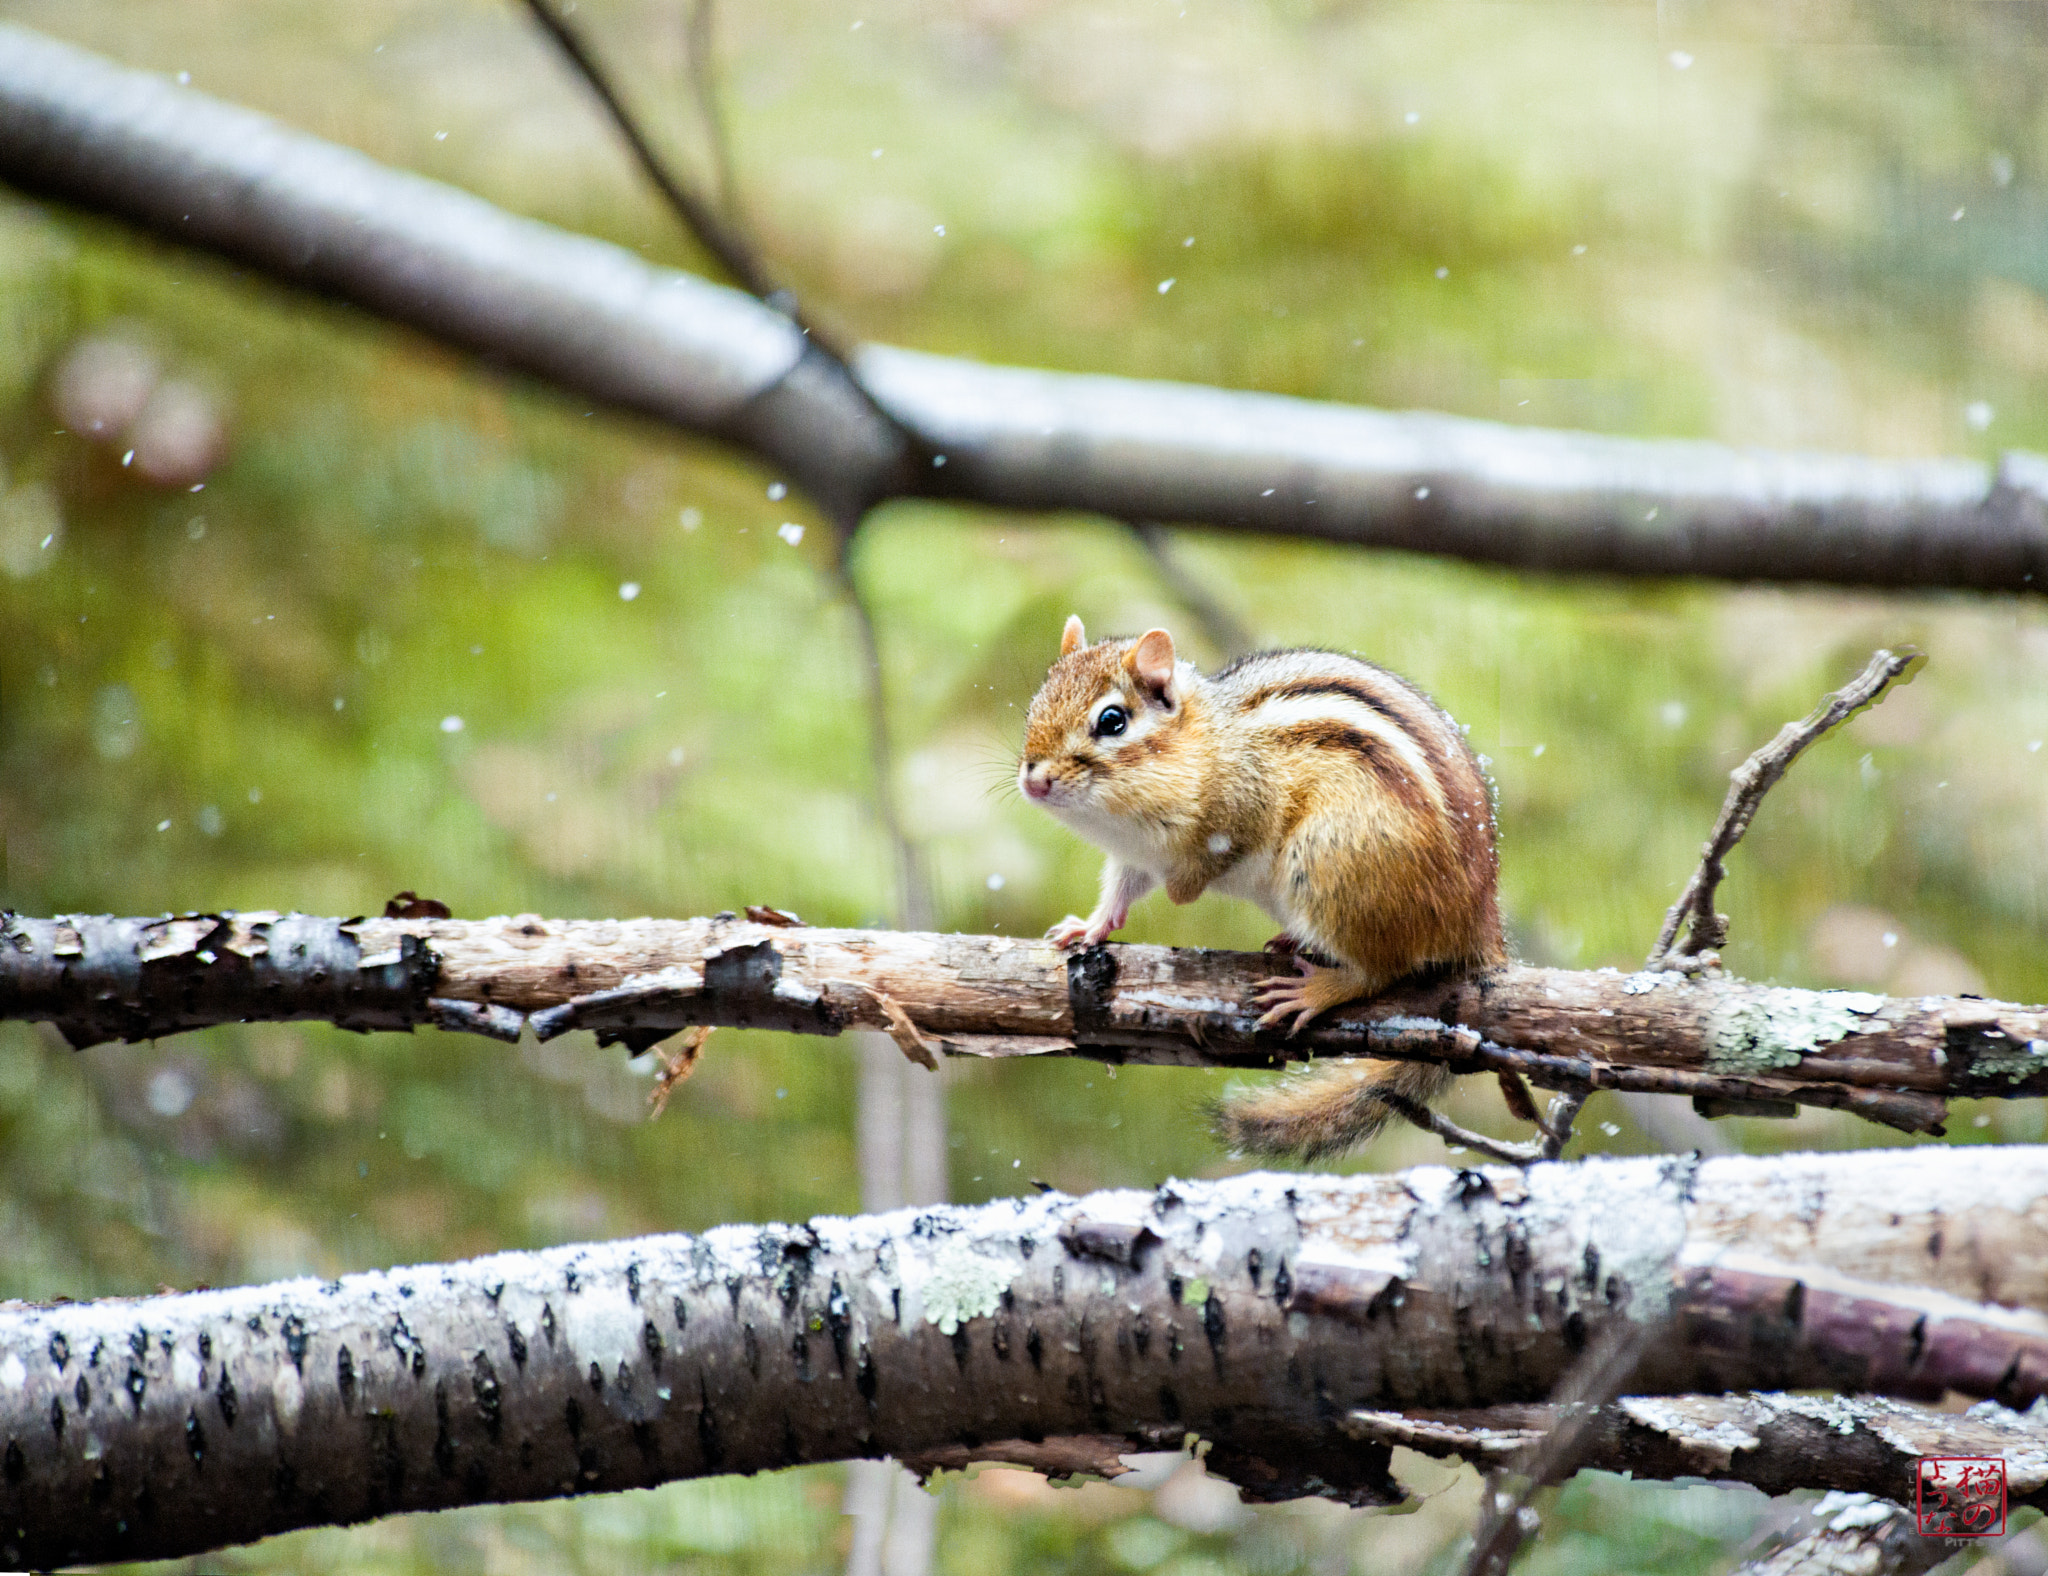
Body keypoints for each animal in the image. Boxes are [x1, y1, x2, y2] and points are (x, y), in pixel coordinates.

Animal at [1017, 615, 1505, 1161]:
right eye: (1034, 705)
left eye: (1112, 721)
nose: (1033, 780)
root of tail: (1479, 919)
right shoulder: (1133, 857)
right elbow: (1120, 892)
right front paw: (1090, 927)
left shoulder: (1245, 810)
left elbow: (1209, 862)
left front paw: (1181, 890)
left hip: (1329, 863)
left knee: (1381, 970)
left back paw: (1316, 990)